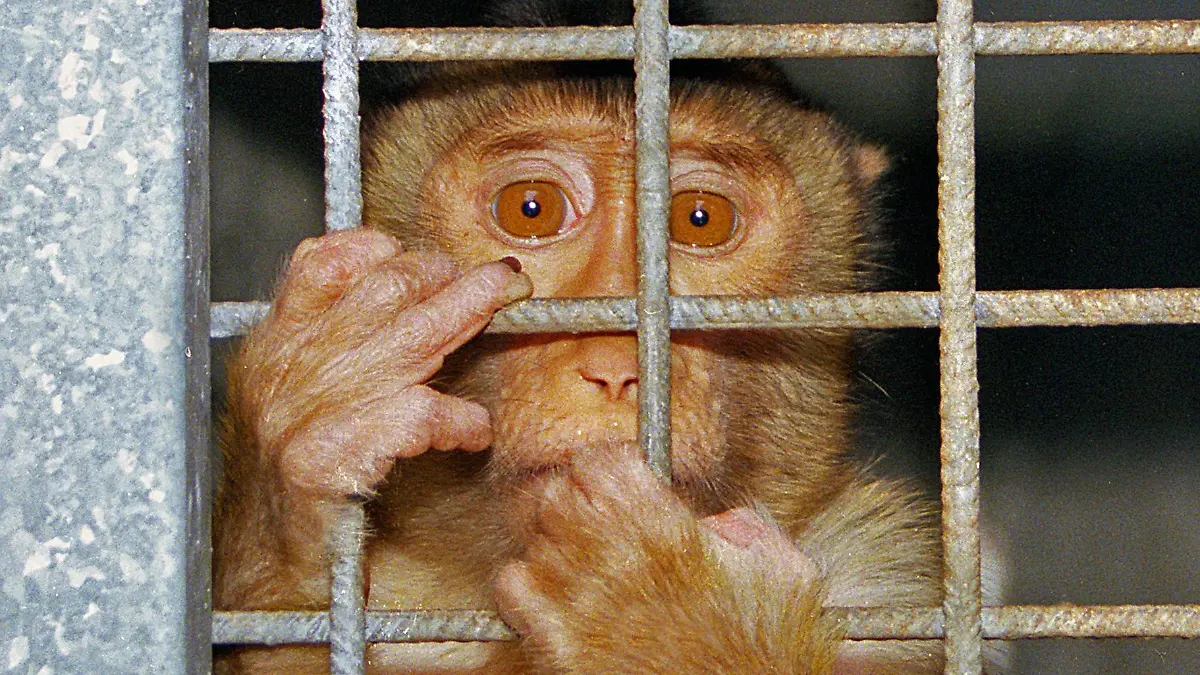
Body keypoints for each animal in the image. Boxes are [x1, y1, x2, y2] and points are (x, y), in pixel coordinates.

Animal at [213, 1, 957, 673]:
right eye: (531, 208)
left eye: (700, 218)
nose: (615, 365)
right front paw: (319, 411)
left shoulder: (885, 579)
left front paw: (665, 619)